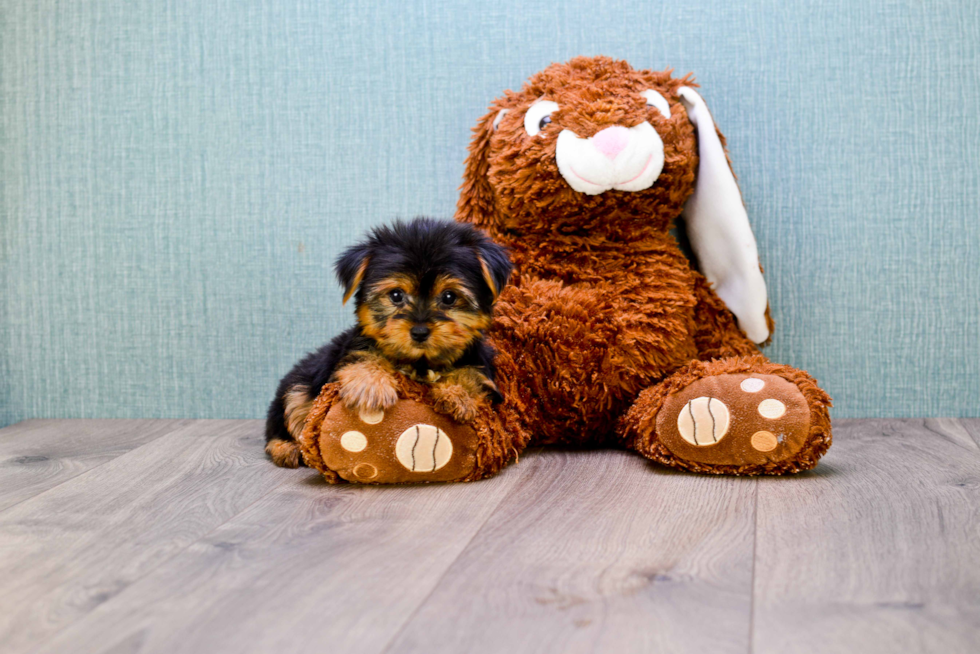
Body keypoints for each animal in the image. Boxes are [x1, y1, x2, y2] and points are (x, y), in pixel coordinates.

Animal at [268, 218, 512, 468]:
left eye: (449, 297)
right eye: (396, 295)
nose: (420, 331)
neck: (419, 362)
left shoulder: (481, 362)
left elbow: (473, 373)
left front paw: (457, 395)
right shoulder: (351, 350)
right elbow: (363, 356)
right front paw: (370, 386)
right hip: (299, 384)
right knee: (290, 409)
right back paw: (286, 448)